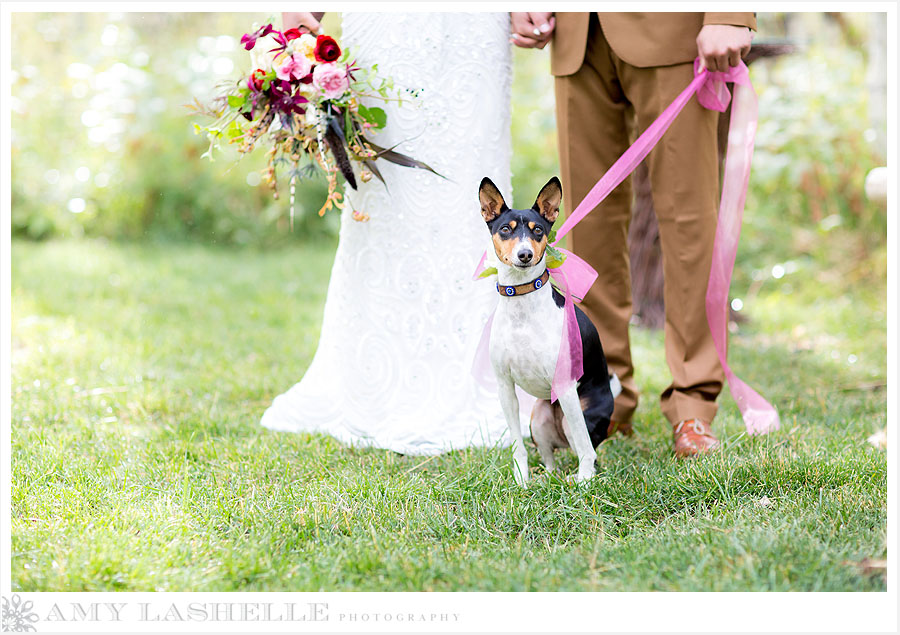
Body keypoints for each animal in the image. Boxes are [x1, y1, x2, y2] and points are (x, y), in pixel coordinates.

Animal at [478, 176, 620, 484]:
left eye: (538, 230)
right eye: (505, 229)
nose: (525, 254)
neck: (521, 308)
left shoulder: (565, 387)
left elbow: (586, 449)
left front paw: (584, 482)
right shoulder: (505, 387)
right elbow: (517, 446)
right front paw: (521, 479)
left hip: (573, 413)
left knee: (585, 447)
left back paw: (579, 477)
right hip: (539, 418)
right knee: (550, 457)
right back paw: (548, 478)